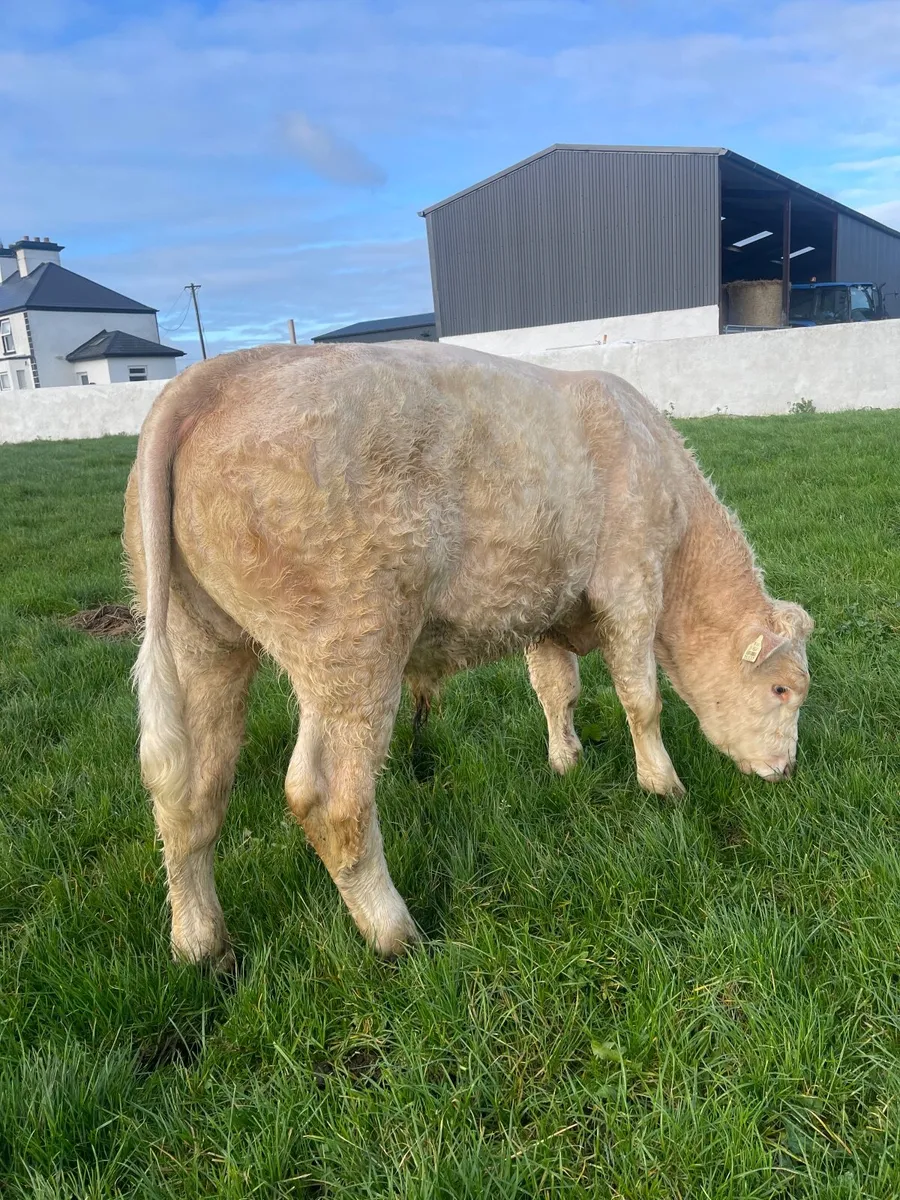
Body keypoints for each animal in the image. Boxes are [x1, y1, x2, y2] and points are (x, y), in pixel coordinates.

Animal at [124, 341, 812, 966]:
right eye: (782, 689)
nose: (786, 770)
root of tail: (220, 376)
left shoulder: (547, 608)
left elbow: (557, 690)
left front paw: (567, 762)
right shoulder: (631, 587)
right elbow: (642, 701)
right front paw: (663, 786)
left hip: (201, 641)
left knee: (190, 789)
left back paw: (200, 944)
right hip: (352, 644)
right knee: (330, 798)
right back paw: (395, 933)